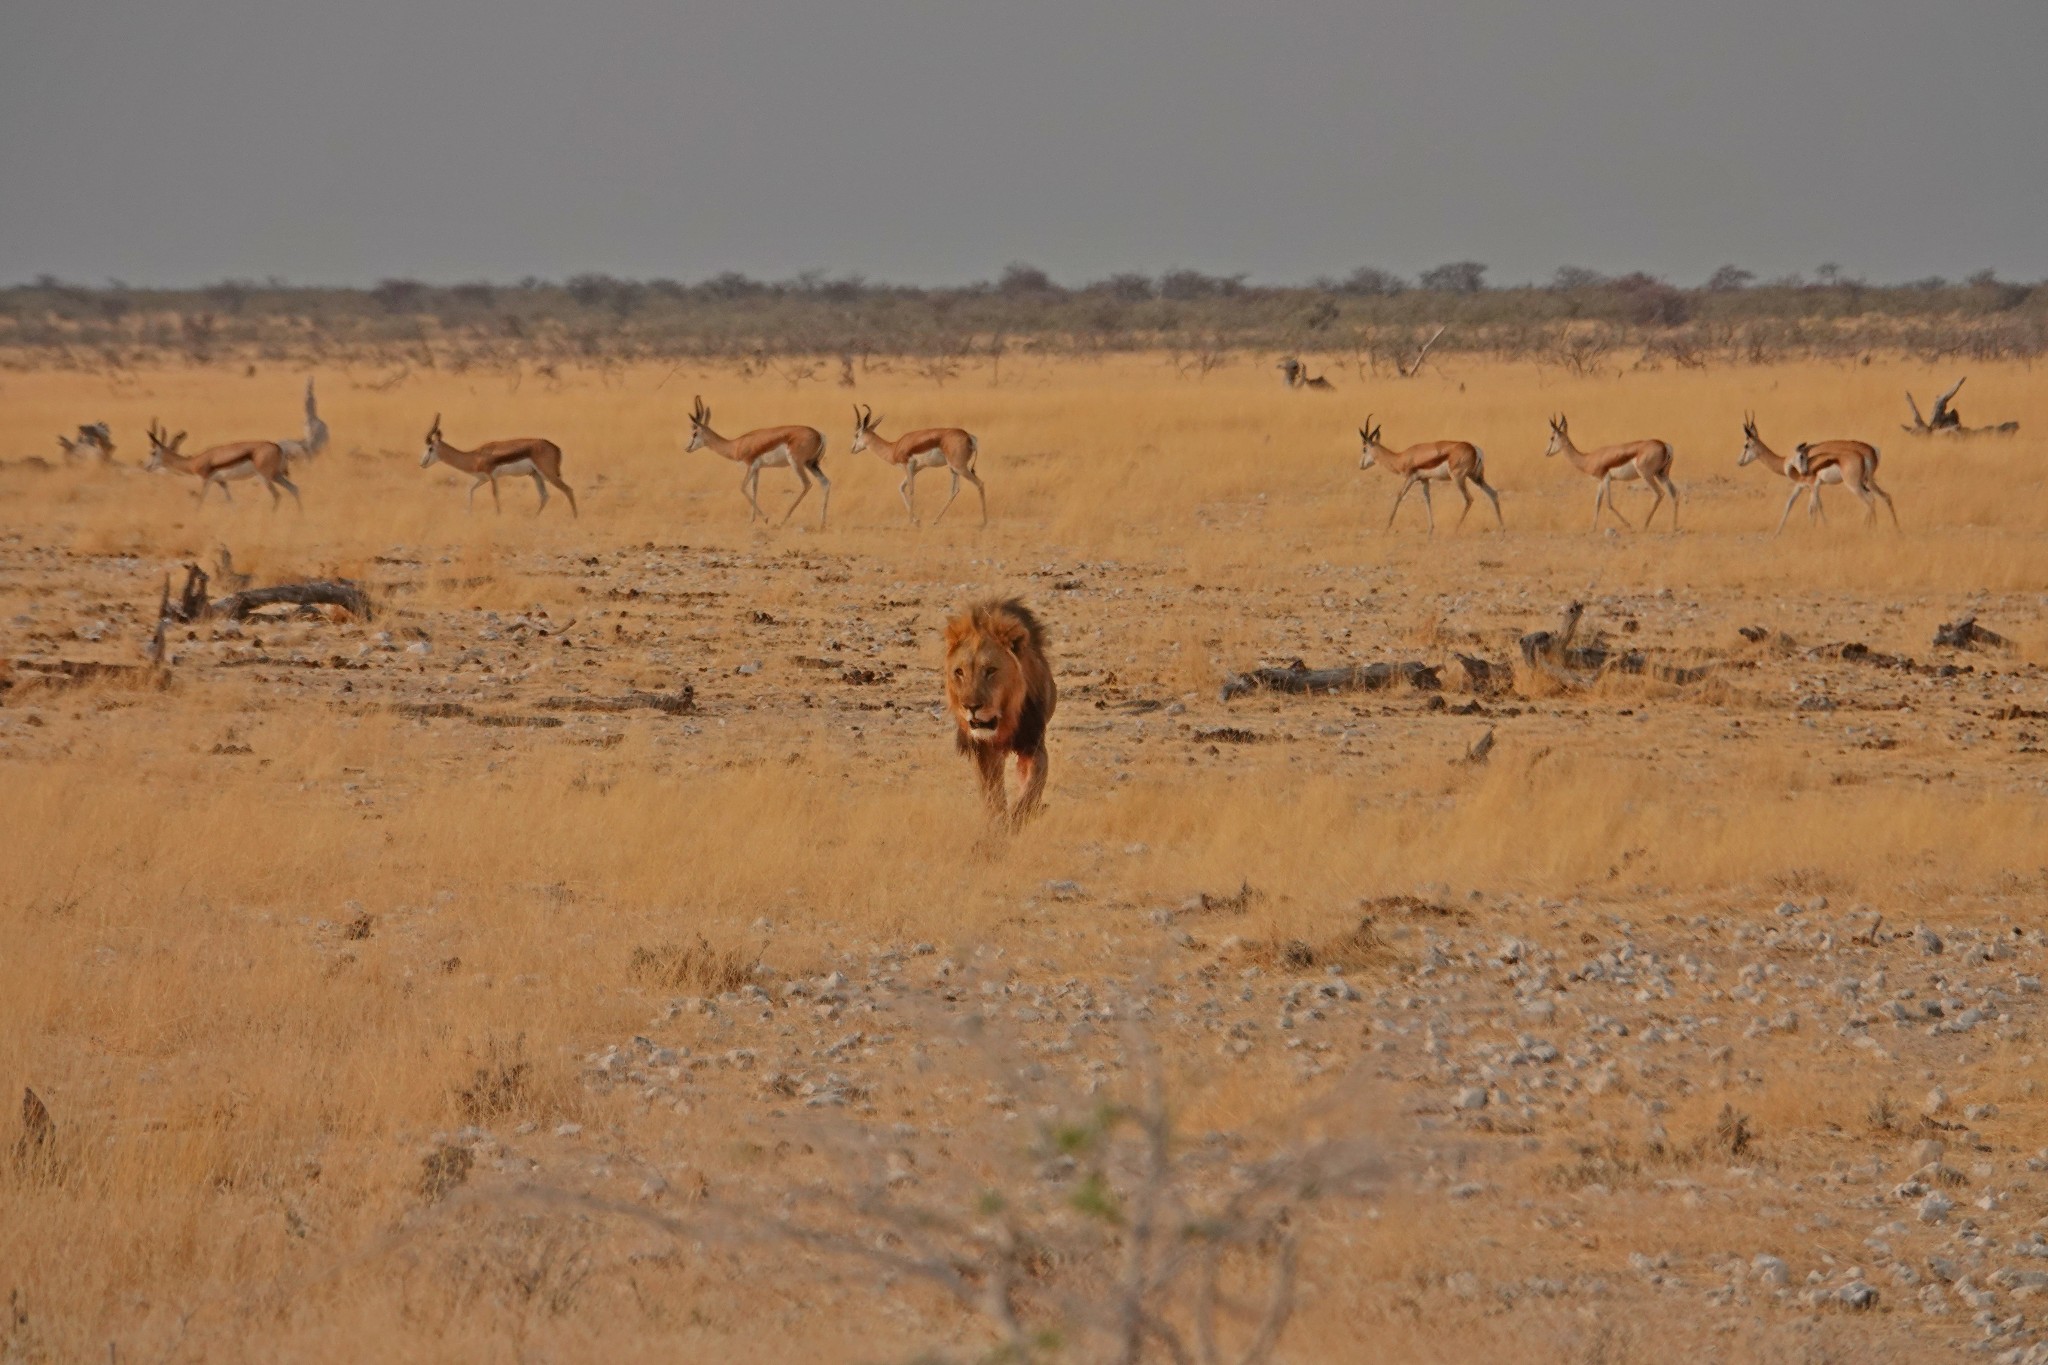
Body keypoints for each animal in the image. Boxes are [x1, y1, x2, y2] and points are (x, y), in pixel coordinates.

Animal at [942, 601, 1056, 834]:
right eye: (959, 672)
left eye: (991, 670)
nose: (971, 706)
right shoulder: (984, 750)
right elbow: (992, 793)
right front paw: (998, 824)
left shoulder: (1033, 743)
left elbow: (1033, 784)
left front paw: (1020, 817)